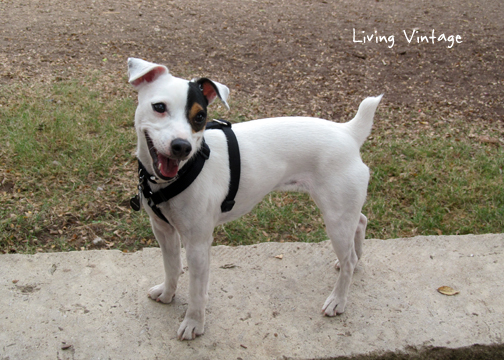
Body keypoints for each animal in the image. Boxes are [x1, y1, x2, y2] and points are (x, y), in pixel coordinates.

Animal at [127, 57, 382, 338]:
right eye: (159, 107)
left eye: (200, 117)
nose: (182, 146)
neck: (174, 176)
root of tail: (348, 132)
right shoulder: (163, 231)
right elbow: (172, 267)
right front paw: (167, 293)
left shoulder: (198, 245)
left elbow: (196, 291)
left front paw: (193, 323)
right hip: (344, 211)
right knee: (360, 223)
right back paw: (356, 257)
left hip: (336, 220)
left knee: (348, 259)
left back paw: (338, 299)